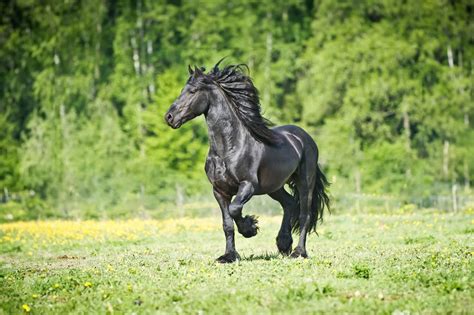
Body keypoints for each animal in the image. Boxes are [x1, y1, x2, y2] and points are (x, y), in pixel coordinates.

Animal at [166, 61, 330, 264]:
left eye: (192, 91)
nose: (169, 117)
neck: (229, 148)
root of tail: (304, 137)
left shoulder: (248, 185)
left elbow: (235, 209)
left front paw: (250, 228)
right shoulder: (219, 191)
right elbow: (227, 224)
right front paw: (228, 256)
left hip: (305, 182)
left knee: (304, 214)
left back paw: (298, 252)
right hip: (274, 186)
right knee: (289, 203)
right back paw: (283, 243)